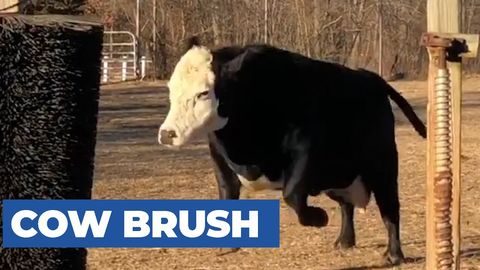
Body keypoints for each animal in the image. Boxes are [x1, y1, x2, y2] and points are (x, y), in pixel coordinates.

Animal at [159, 38, 426, 266]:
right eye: (171, 88)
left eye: (204, 92)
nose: (167, 134)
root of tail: (369, 76)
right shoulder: (221, 162)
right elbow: (227, 197)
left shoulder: (303, 154)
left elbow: (292, 195)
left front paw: (319, 217)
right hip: (337, 177)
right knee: (346, 205)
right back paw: (345, 241)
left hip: (383, 167)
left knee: (390, 209)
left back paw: (394, 254)